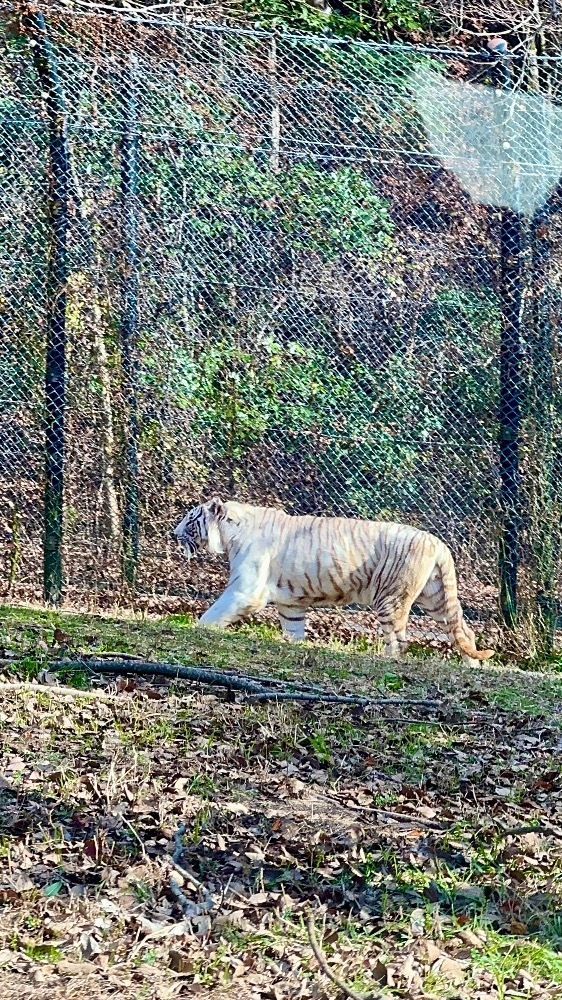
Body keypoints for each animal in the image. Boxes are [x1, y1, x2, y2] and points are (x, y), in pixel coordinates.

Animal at [173, 498, 494, 666]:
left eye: (190, 519)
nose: (173, 533)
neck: (229, 535)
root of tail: (438, 543)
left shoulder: (245, 590)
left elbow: (212, 613)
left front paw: (197, 631)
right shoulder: (290, 605)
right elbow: (294, 631)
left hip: (391, 599)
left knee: (398, 641)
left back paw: (385, 661)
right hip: (436, 597)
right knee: (464, 631)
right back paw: (474, 666)